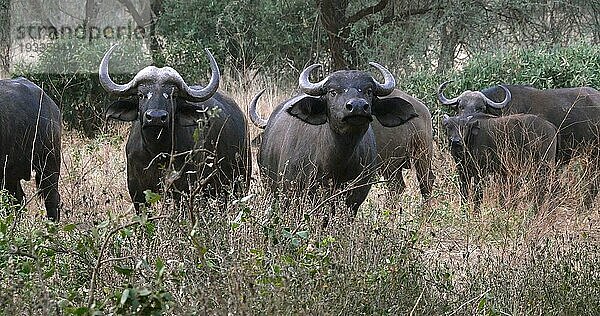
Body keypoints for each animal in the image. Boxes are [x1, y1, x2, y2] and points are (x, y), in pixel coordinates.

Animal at [99, 44, 250, 210]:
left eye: (172, 95)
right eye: (141, 94)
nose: (156, 117)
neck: (157, 152)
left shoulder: (184, 189)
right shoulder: (136, 192)